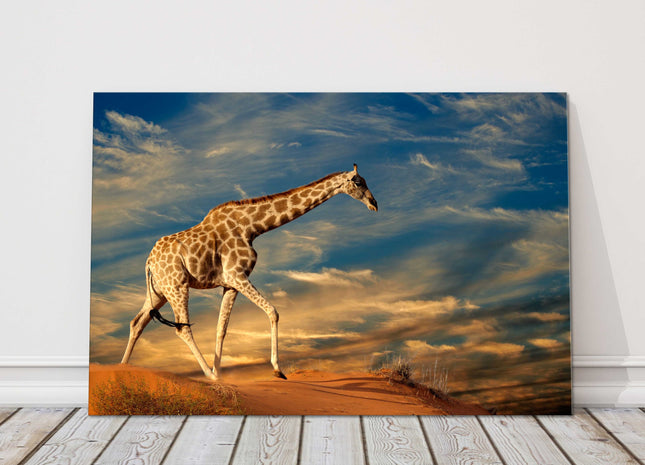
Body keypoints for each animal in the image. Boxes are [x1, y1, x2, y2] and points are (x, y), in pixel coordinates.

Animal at [120, 164, 378, 380]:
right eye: (358, 182)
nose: (374, 204)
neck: (253, 227)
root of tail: (148, 262)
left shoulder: (229, 284)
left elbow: (221, 328)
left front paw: (221, 373)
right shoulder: (237, 275)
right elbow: (273, 311)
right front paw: (276, 370)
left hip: (159, 290)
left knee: (137, 323)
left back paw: (122, 369)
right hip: (177, 285)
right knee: (182, 328)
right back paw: (207, 376)